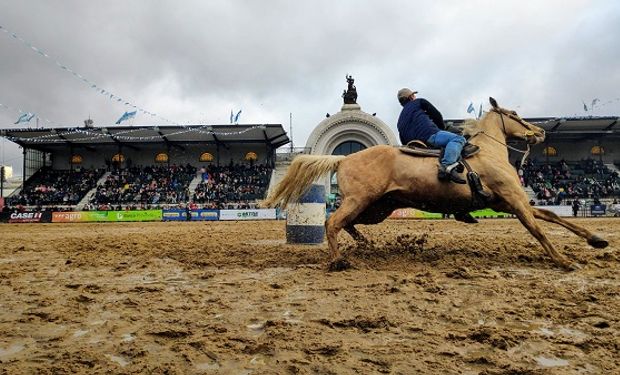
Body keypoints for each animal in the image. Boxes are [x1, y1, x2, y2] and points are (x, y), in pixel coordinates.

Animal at [262, 98, 612, 272]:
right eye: (514, 113)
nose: (539, 133)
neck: (489, 152)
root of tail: (343, 157)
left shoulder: (511, 202)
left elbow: (553, 217)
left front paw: (596, 239)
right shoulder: (515, 201)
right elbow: (538, 230)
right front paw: (563, 261)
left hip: (377, 208)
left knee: (345, 224)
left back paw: (365, 245)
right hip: (360, 200)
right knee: (332, 222)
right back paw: (338, 261)